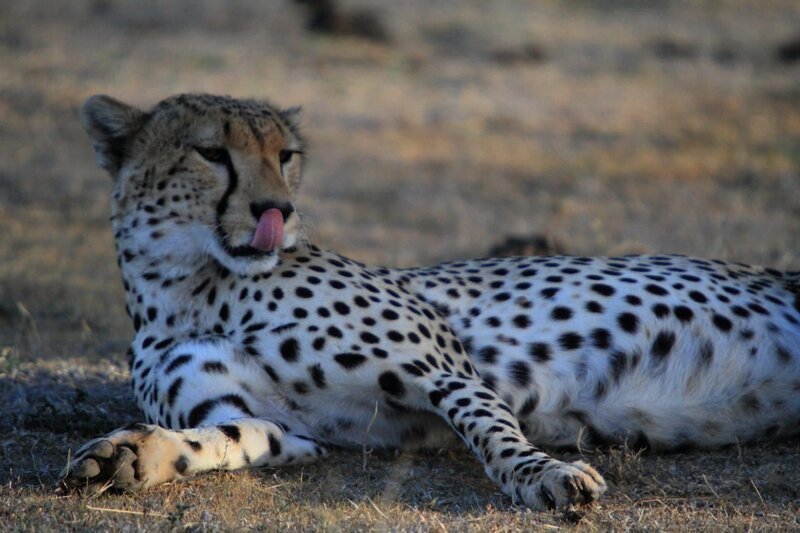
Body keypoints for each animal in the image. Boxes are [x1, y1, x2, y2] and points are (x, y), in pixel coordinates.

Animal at [61, 93, 800, 510]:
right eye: (212, 153)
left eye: (287, 154)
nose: (279, 210)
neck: (190, 283)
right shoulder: (280, 427)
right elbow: (218, 439)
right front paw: (132, 457)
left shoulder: (441, 368)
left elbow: (494, 430)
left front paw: (544, 477)